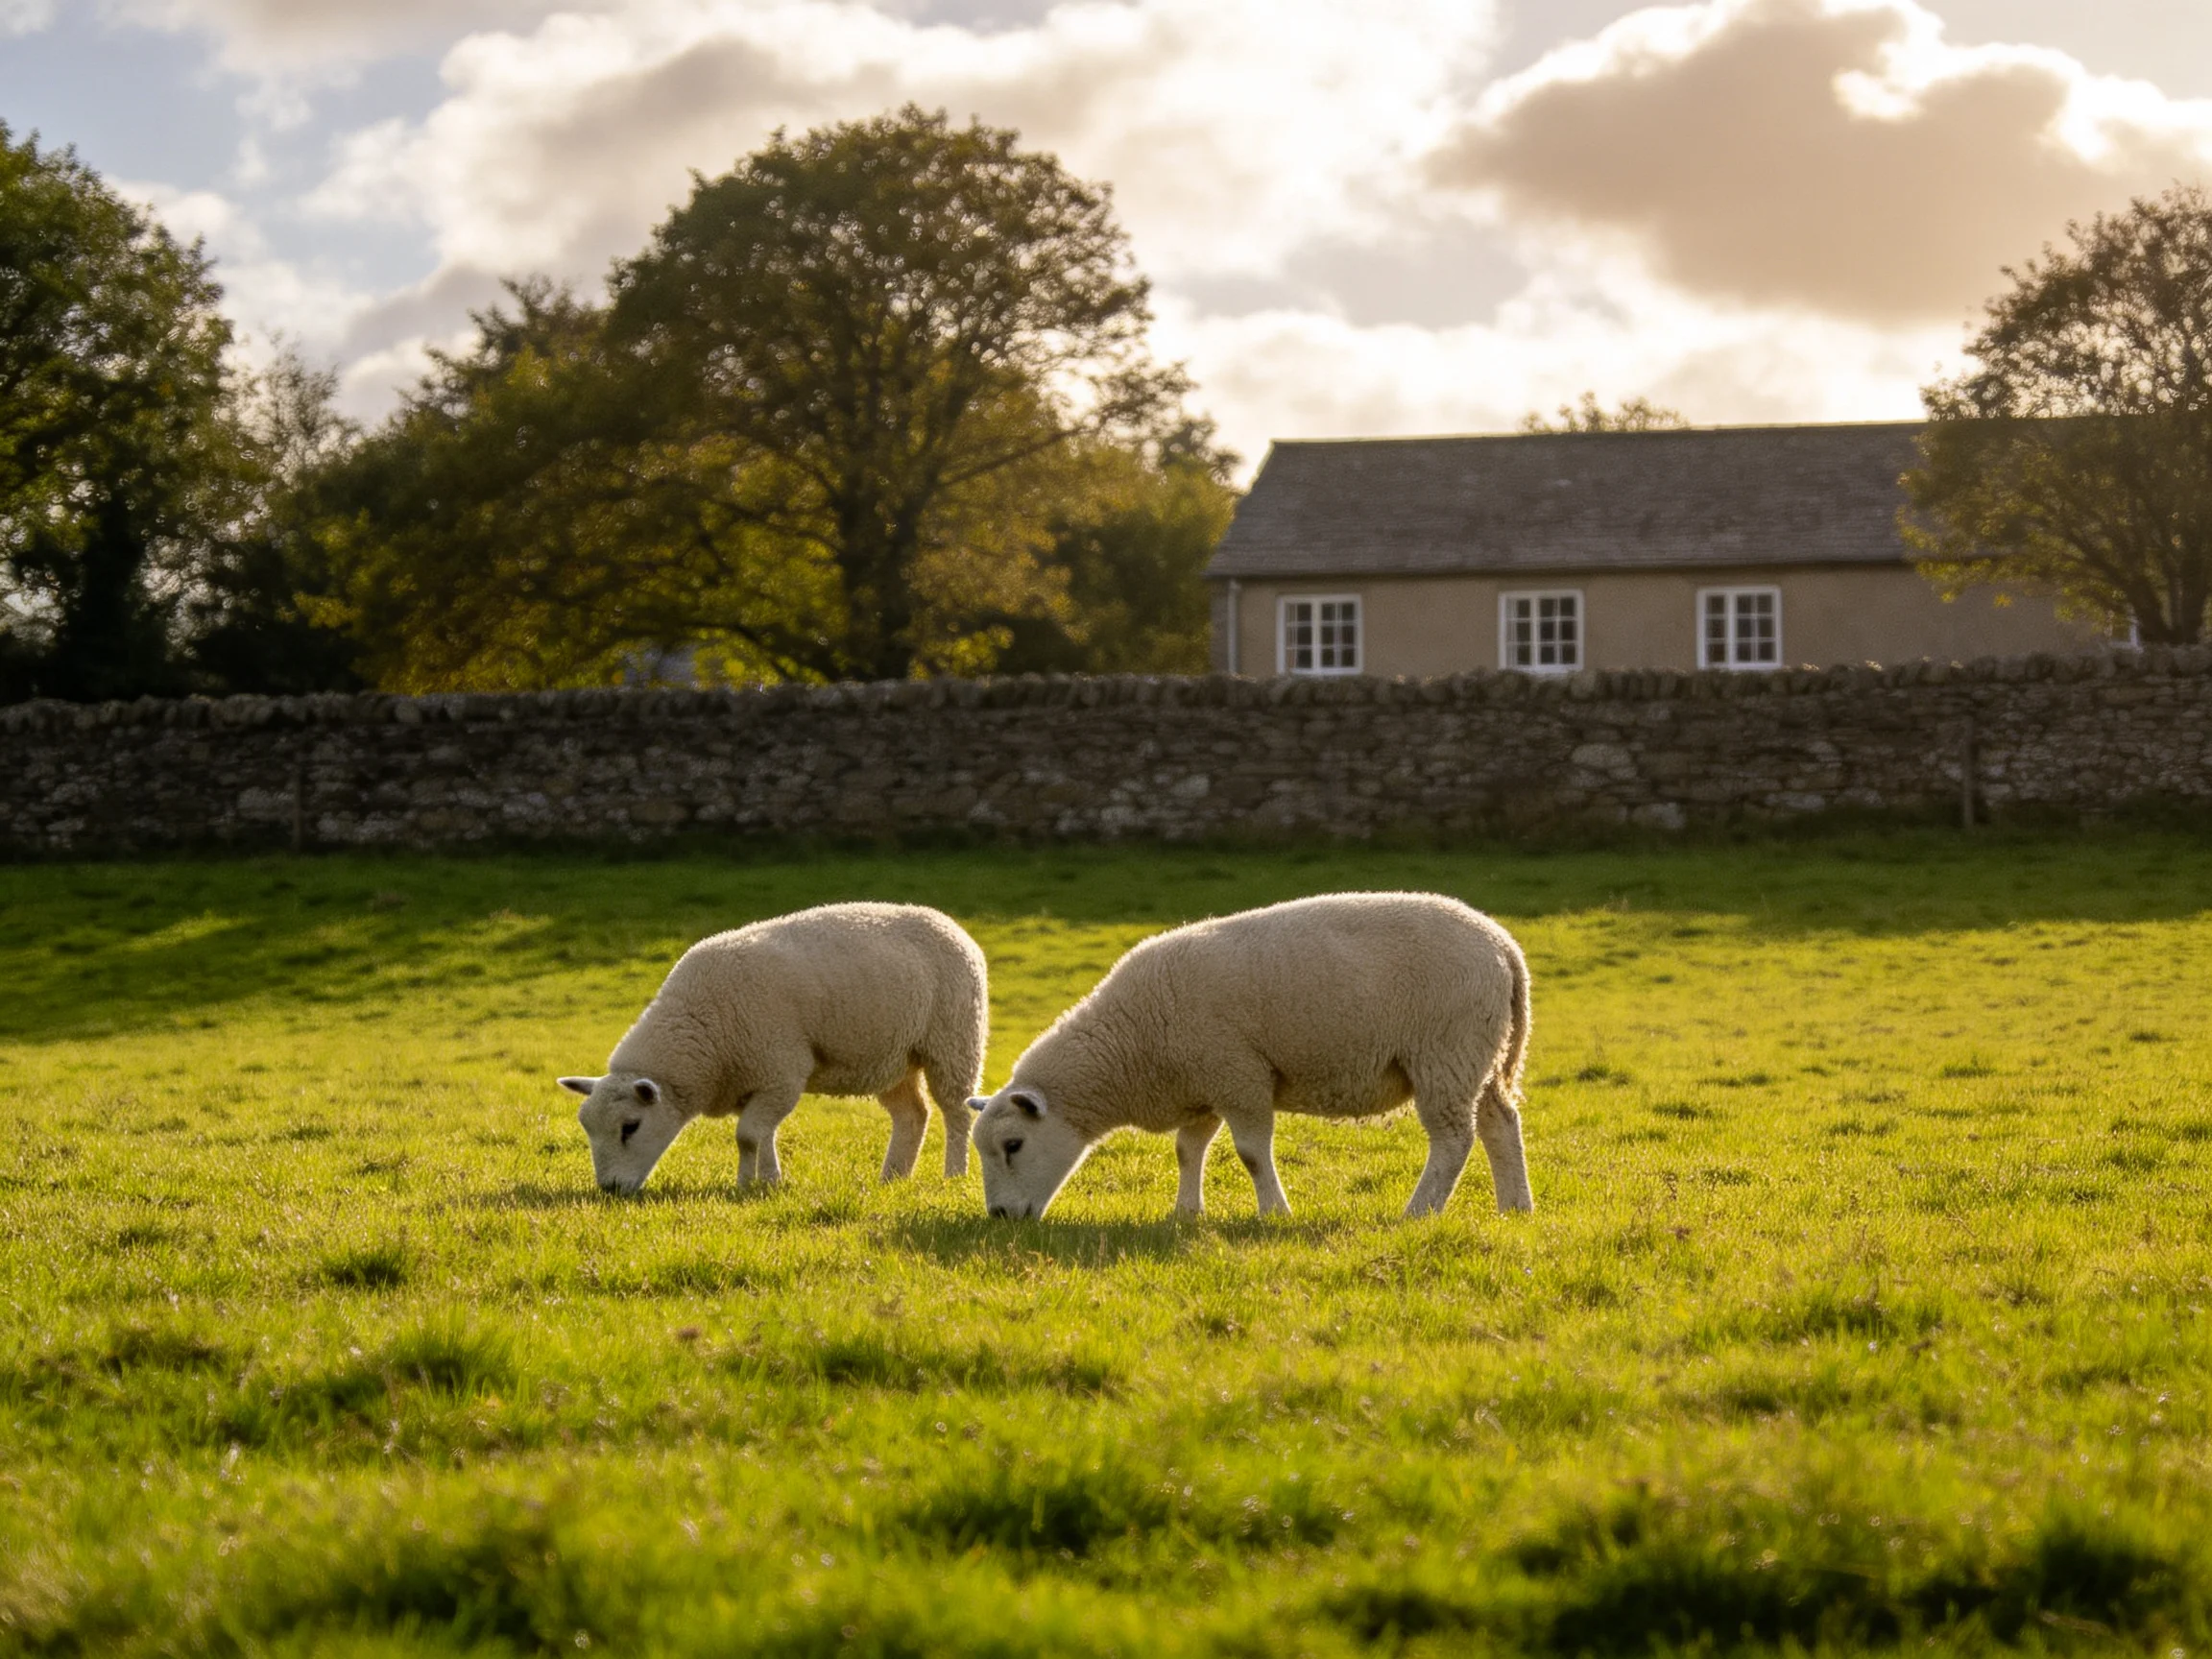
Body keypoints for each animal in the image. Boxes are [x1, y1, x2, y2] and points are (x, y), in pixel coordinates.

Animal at [558, 902, 987, 1195]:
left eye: (630, 1127)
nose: (610, 1189)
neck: (703, 1029)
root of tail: (950, 923)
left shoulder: (780, 1072)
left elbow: (747, 1136)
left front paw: (746, 1184)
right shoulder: (756, 1080)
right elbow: (762, 1135)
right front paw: (769, 1181)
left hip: (954, 1041)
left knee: (956, 1112)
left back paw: (954, 1173)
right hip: (893, 1058)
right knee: (912, 1115)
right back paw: (892, 1177)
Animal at [968, 892, 1532, 1221]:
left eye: (1013, 1145)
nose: (999, 1216)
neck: (1134, 1042)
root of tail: (1504, 945)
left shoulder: (1239, 1076)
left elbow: (1251, 1154)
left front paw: (1274, 1213)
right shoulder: (1204, 1084)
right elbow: (1187, 1150)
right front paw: (1185, 1213)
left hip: (1444, 1053)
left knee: (1453, 1140)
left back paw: (1418, 1211)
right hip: (1479, 1056)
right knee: (1500, 1124)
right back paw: (1515, 1207)